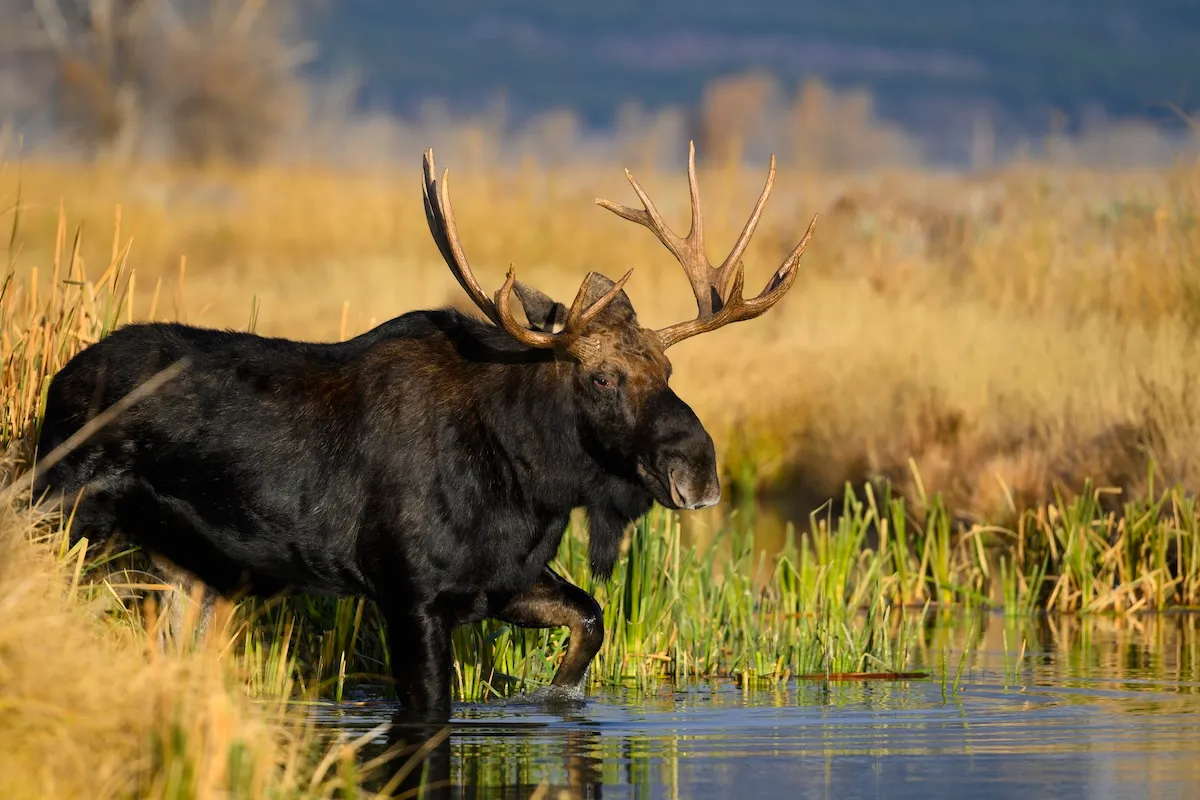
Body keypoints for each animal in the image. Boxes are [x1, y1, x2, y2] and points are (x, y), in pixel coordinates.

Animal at [31, 142, 817, 720]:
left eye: (669, 366)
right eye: (600, 378)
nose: (701, 470)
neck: (530, 483)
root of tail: (59, 379)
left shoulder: (499, 580)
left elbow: (590, 619)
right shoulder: (406, 591)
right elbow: (430, 710)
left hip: (183, 563)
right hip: (56, 506)